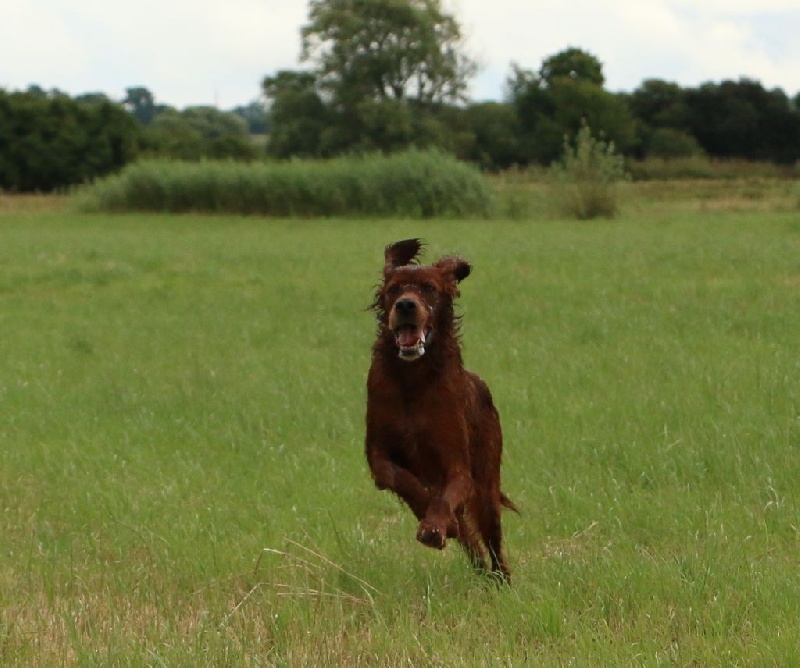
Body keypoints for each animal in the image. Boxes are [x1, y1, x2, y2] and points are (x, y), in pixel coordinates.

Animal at [366, 239, 516, 580]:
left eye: (429, 288)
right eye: (394, 289)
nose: (406, 305)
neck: (413, 380)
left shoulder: (458, 467)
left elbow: (448, 498)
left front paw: (434, 526)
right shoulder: (377, 454)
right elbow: (399, 478)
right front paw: (432, 520)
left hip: (487, 483)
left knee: (492, 539)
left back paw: (501, 579)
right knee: (469, 539)